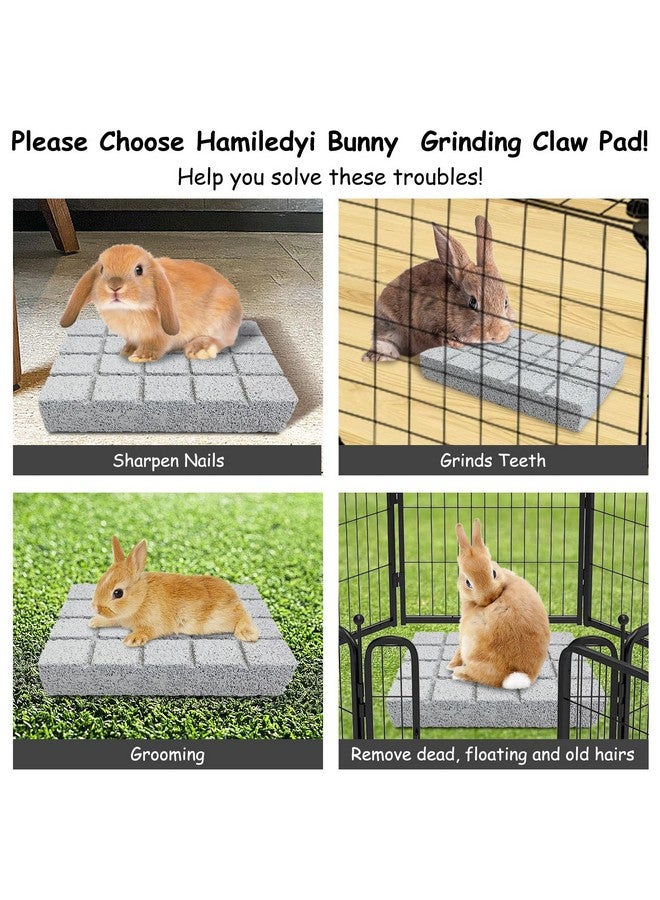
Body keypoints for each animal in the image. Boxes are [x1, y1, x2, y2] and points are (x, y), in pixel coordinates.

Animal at [60, 244, 243, 362]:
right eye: (102, 269)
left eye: (139, 270)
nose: (114, 286)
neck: (128, 310)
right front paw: (127, 351)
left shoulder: (159, 336)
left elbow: (155, 346)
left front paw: (140, 357)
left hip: (220, 319)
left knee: (223, 340)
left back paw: (200, 350)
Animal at [89, 536, 260, 646]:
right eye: (101, 579)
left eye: (118, 593)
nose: (96, 608)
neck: (142, 597)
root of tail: (234, 596)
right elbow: (112, 620)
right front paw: (94, 622)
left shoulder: (154, 623)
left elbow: (148, 631)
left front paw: (133, 640)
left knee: (243, 616)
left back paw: (247, 634)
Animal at [448, 519, 550, 689]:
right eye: (468, 582)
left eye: (493, 572)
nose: (489, 598)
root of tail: (518, 675)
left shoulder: (463, 631)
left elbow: (458, 651)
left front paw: (450, 665)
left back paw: (458, 673)